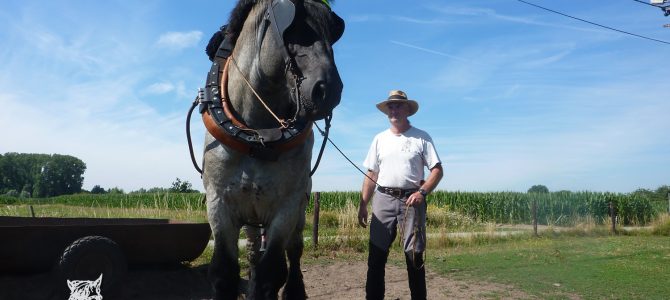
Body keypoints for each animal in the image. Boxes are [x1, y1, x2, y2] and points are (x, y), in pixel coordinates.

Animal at [200, 1, 344, 298]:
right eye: (292, 23)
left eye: (333, 29)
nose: (329, 90)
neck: (257, 137)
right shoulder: (218, 202)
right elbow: (223, 272)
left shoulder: (286, 206)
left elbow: (273, 273)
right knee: (254, 252)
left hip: (299, 209)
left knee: (294, 250)